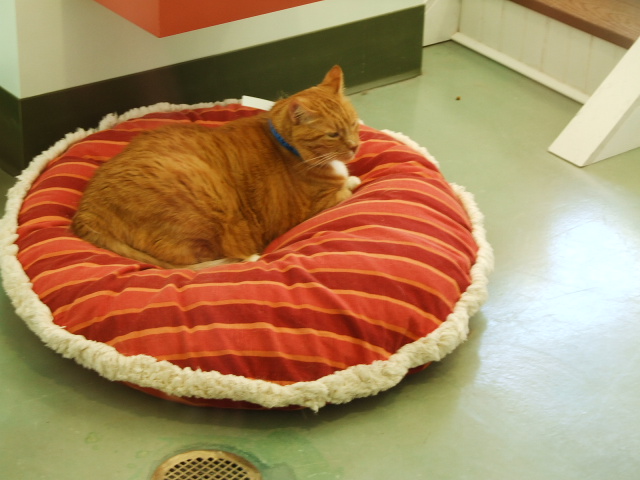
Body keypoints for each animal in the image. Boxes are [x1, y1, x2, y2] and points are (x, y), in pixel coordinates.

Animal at [71, 65, 360, 268]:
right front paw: (352, 181)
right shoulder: (318, 205)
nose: (356, 146)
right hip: (203, 197)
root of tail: (85, 212)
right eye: (333, 134)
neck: (290, 149)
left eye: (354, 124)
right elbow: (346, 189)